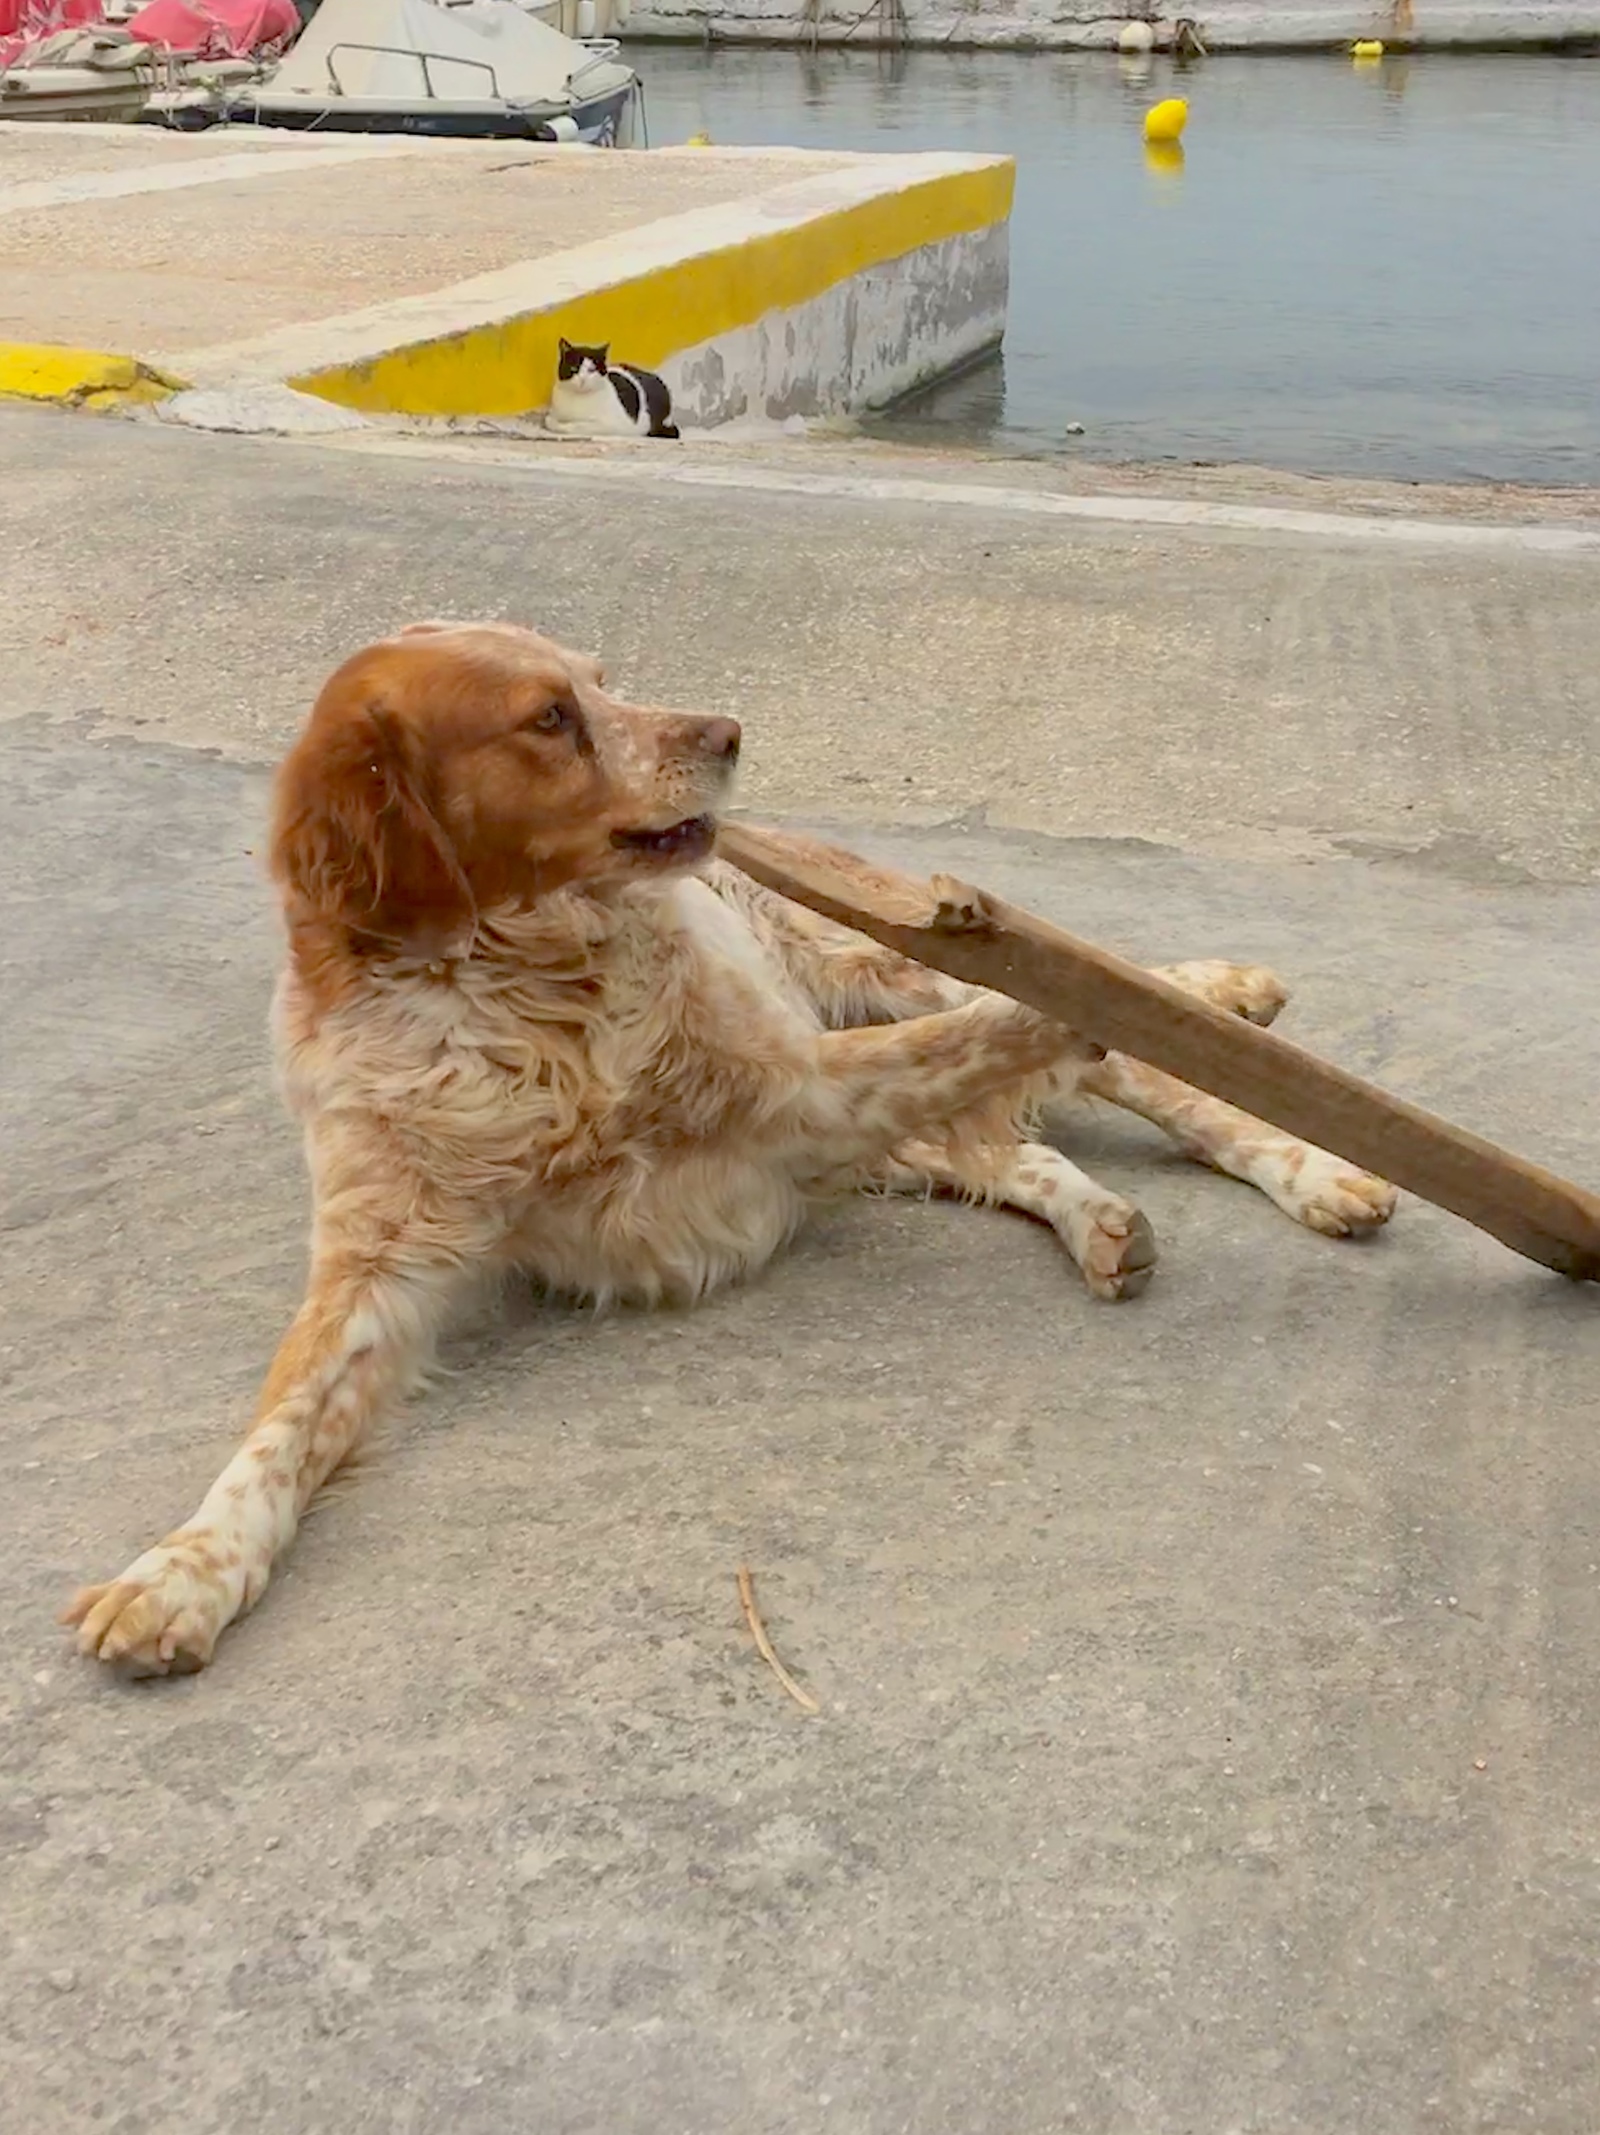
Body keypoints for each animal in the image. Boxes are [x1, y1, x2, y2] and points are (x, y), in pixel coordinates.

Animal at [62, 623, 1392, 1673]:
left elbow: (1019, 1014)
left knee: (1157, 1082)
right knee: (1000, 1150)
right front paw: (180, 1570)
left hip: (877, 969)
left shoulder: (798, 1088)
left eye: (601, 679)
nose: (733, 729)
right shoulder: (382, 1262)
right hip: (865, 1138)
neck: (530, 1002)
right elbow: (273, 1434)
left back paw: (1303, 1144)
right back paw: (1102, 1223)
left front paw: (1117, 998)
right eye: (550, 718)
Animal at [542, 339, 679, 439]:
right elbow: (548, 420)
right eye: (573, 368)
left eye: (592, 370)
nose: (582, 379)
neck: (578, 398)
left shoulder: (613, 425)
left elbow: (579, 426)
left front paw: (564, 426)